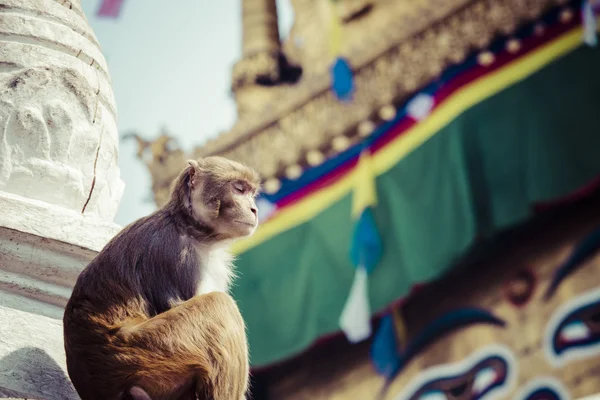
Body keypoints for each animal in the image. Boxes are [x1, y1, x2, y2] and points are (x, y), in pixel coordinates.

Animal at [62, 156, 262, 400]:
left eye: (251, 192)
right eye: (239, 189)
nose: (254, 209)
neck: (190, 226)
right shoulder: (177, 255)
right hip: (144, 351)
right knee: (219, 304)